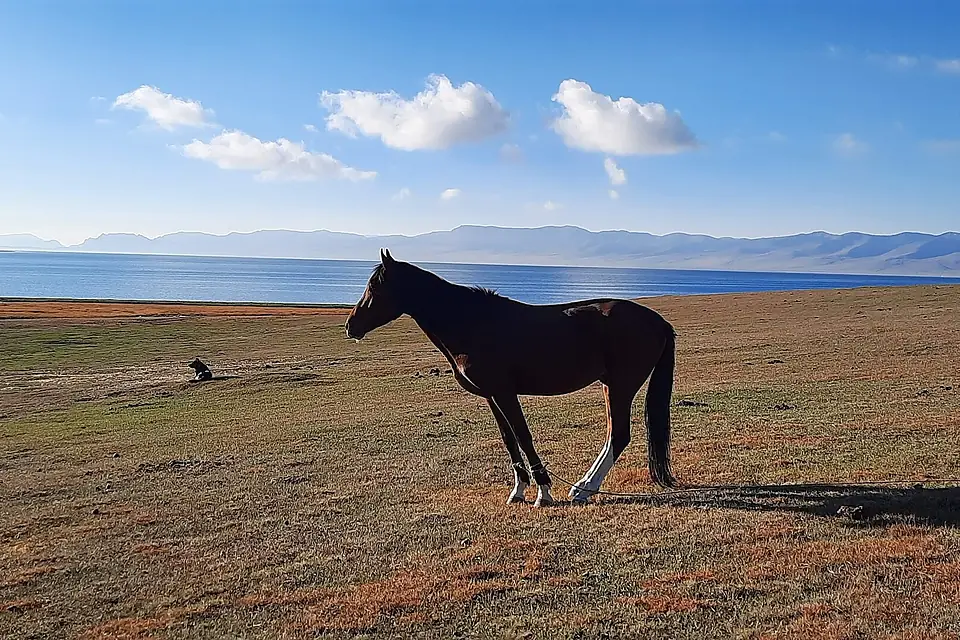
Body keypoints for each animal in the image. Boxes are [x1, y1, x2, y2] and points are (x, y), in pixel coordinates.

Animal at [345, 249, 678, 507]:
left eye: (374, 286)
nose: (351, 326)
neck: (473, 323)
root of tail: (658, 321)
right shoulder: (492, 395)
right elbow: (509, 439)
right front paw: (518, 490)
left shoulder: (505, 392)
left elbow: (523, 436)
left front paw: (543, 493)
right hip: (611, 384)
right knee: (613, 436)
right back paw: (582, 486)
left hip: (621, 385)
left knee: (618, 435)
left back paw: (584, 489)